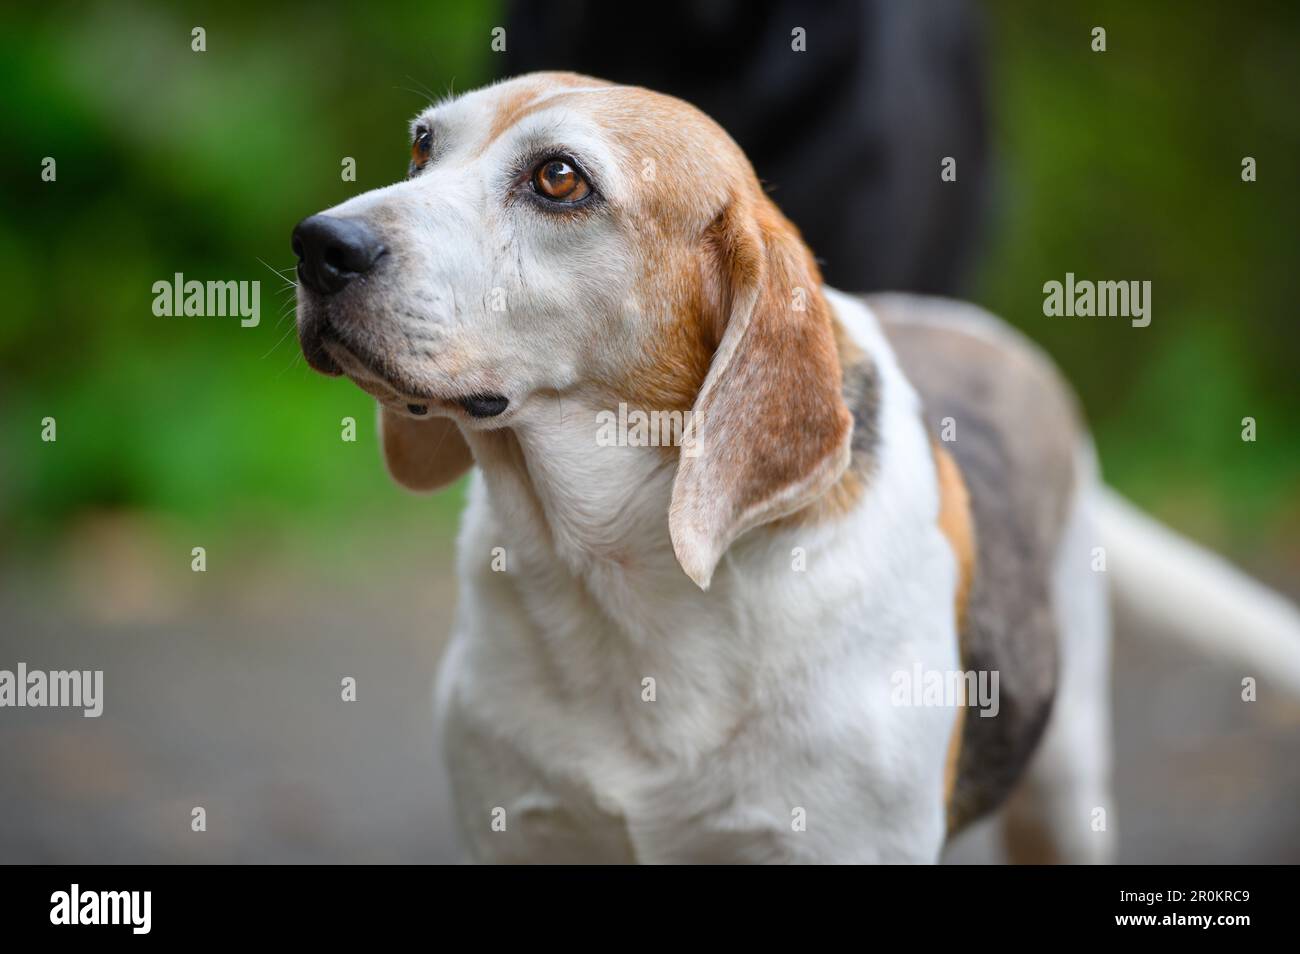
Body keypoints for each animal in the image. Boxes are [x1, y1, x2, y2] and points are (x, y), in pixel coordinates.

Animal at [292, 72, 1300, 868]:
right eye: (423, 146)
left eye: (559, 179)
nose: (318, 245)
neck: (617, 580)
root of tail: (972, 324)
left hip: (1066, 790)